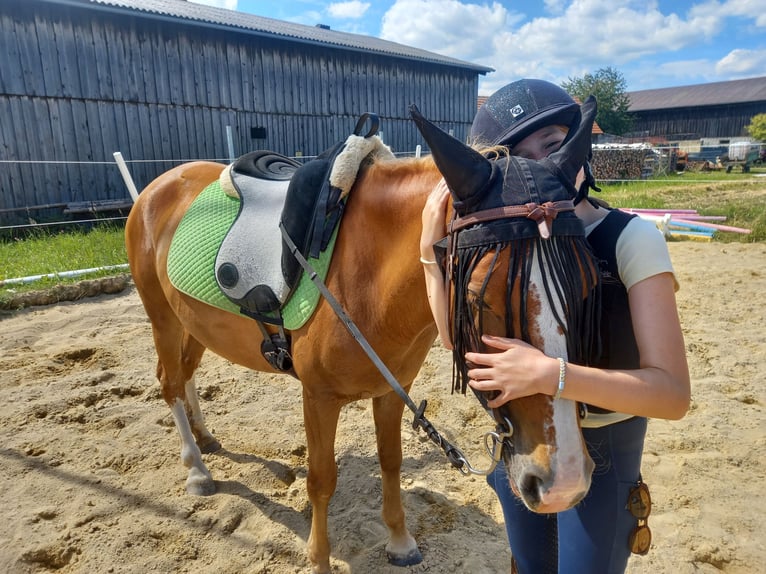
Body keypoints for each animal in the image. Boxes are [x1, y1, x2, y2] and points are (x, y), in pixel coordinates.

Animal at [124, 98, 600, 573]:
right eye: (476, 297)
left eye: (589, 284)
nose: (564, 480)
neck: (365, 278)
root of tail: (160, 184)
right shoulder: (317, 397)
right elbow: (321, 478)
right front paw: (319, 560)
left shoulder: (392, 390)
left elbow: (391, 462)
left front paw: (400, 541)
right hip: (163, 318)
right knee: (169, 382)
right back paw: (197, 469)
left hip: (193, 324)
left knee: (186, 375)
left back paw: (205, 438)